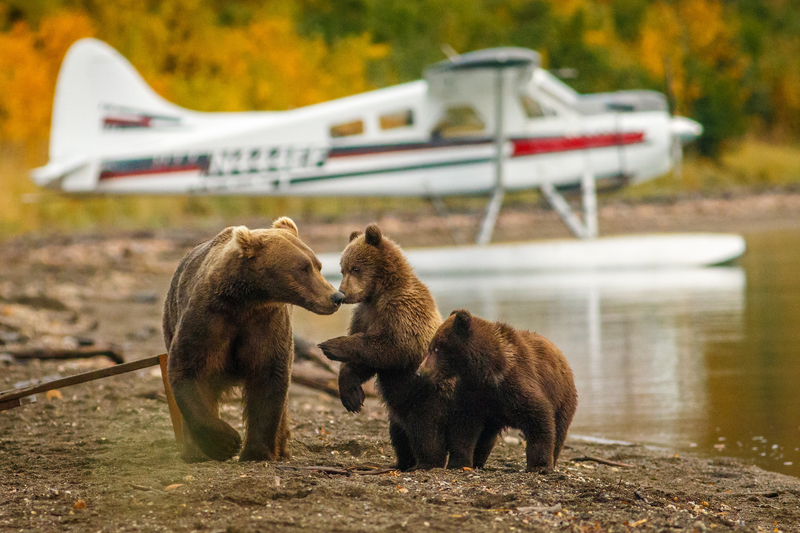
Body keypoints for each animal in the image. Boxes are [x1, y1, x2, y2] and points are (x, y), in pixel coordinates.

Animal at [162, 217, 344, 462]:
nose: (336, 297)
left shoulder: (266, 325)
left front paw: (256, 452)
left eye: (318, 265)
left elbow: (268, 377)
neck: (247, 301)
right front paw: (225, 442)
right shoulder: (208, 320)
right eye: (303, 268)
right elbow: (188, 369)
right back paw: (194, 451)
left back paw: (281, 449)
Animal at [416, 310, 580, 472]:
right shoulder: (474, 393)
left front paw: (539, 466)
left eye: (436, 349)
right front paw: (459, 462)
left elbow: (539, 416)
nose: (419, 372)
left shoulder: (516, 384)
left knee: (559, 429)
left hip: (563, 398)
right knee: (486, 436)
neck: (486, 371)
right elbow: (463, 426)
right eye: (431, 347)